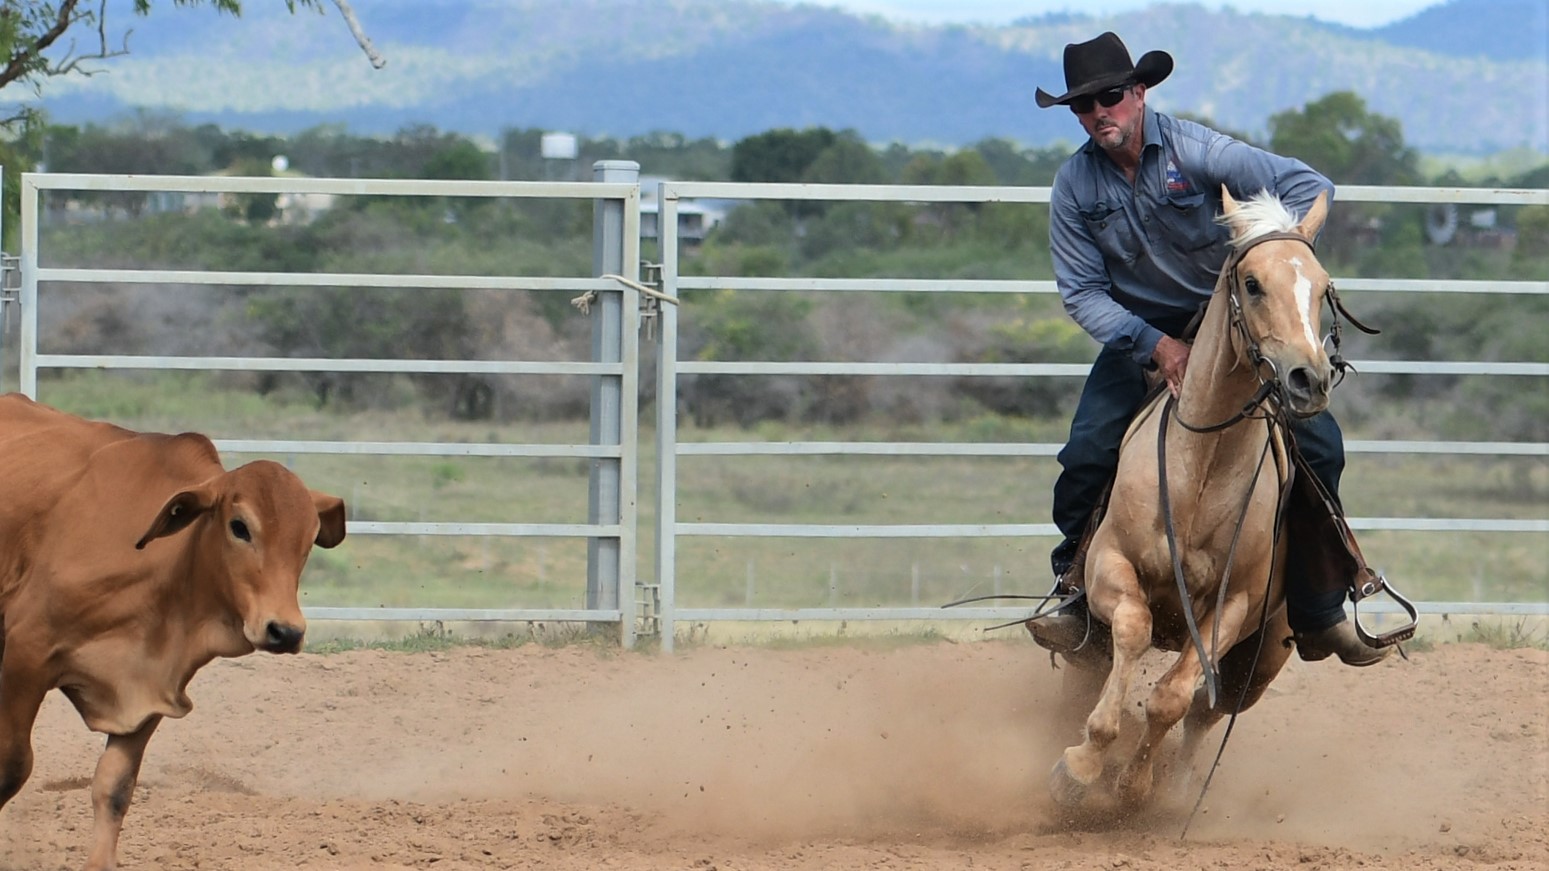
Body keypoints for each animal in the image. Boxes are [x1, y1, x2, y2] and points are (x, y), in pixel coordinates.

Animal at [0, 392, 346, 871]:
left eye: (310, 538)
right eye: (240, 527)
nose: (285, 631)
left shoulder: (151, 687)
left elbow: (114, 789)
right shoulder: (25, 655)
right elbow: (12, 767)